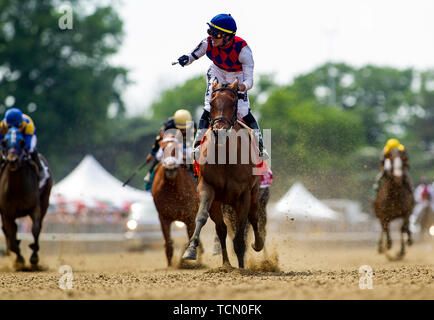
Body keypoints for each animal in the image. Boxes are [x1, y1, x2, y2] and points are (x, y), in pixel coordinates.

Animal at [0, 127, 52, 270]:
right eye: (4, 142)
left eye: (22, 142)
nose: (12, 160)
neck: (17, 189)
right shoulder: (7, 213)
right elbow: (11, 236)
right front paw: (19, 260)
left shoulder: (35, 207)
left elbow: (36, 229)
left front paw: (34, 257)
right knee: (8, 232)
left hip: (45, 201)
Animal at [152, 131, 201, 266]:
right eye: (163, 148)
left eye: (177, 149)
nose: (170, 167)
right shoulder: (163, 217)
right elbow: (168, 243)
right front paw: (170, 265)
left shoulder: (190, 216)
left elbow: (191, 237)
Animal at [184, 79, 262, 268]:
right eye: (211, 103)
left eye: (233, 102)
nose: (220, 131)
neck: (225, 155)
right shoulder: (207, 188)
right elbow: (201, 217)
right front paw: (191, 249)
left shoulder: (244, 194)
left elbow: (241, 229)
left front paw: (242, 264)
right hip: (220, 202)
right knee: (221, 229)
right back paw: (226, 264)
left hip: (254, 192)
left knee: (253, 217)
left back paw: (256, 245)